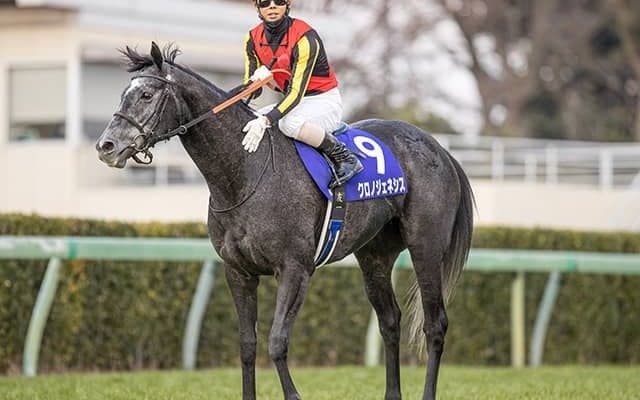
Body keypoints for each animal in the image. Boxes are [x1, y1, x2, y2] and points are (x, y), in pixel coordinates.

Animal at [96, 43, 474, 400]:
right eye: (124, 93)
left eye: (146, 95)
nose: (106, 146)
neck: (244, 174)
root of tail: (439, 149)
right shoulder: (238, 272)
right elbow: (247, 344)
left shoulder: (294, 269)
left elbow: (277, 341)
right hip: (374, 256)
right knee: (390, 321)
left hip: (425, 247)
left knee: (435, 324)